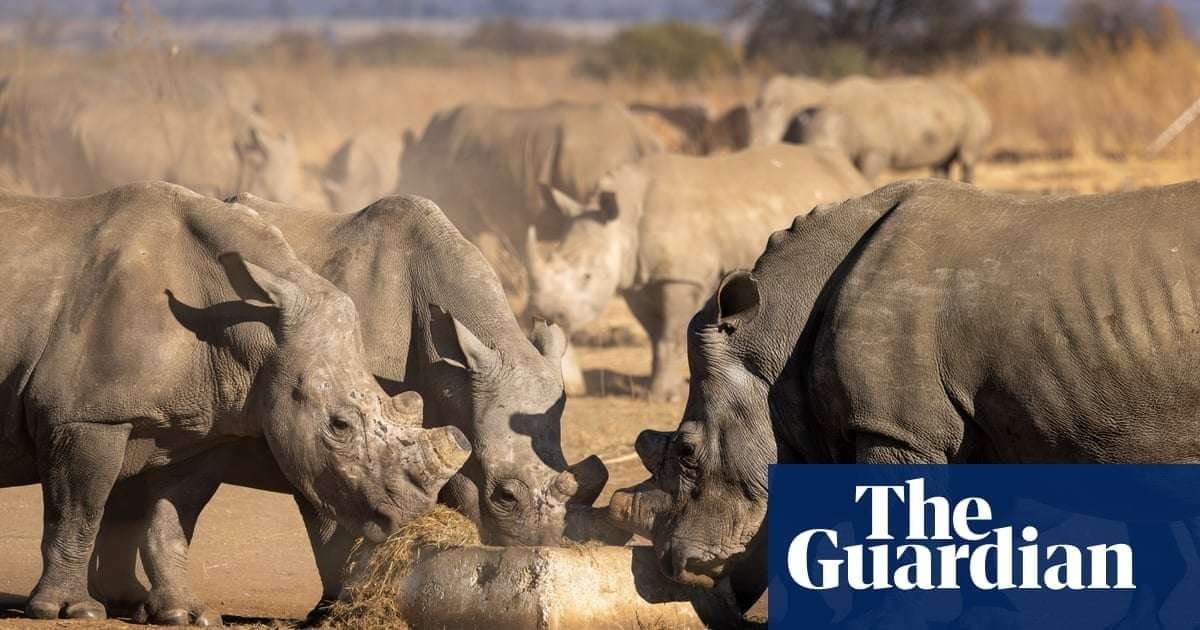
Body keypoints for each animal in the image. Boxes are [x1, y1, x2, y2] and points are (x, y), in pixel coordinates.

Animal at [0, 181, 469, 624]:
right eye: (339, 425)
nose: (406, 515)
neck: (252, 329)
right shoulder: (84, 416)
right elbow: (77, 512)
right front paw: (69, 611)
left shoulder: (201, 432)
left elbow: (172, 523)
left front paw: (186, 615)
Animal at [91, 192, 610, 619]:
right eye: (505, 495)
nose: (542, 546)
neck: (456, 369)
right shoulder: (325, 438)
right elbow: (334, 523)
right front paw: (336, 609)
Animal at [525, 144, 869, 401]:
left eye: (586, 277)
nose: (543, 312)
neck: (625, 220)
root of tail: (851, 171)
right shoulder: (640, 279)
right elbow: (655, 334)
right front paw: (662, 388)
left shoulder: (680, 276)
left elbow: (669, 333)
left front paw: (662, 398)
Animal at [791, 76, 992, 183]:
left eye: (830, 152)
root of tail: (975, 99)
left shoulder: (875, 150)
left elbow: (865, 177)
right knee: (941, 162)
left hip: (973, 115)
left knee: (966, 156)